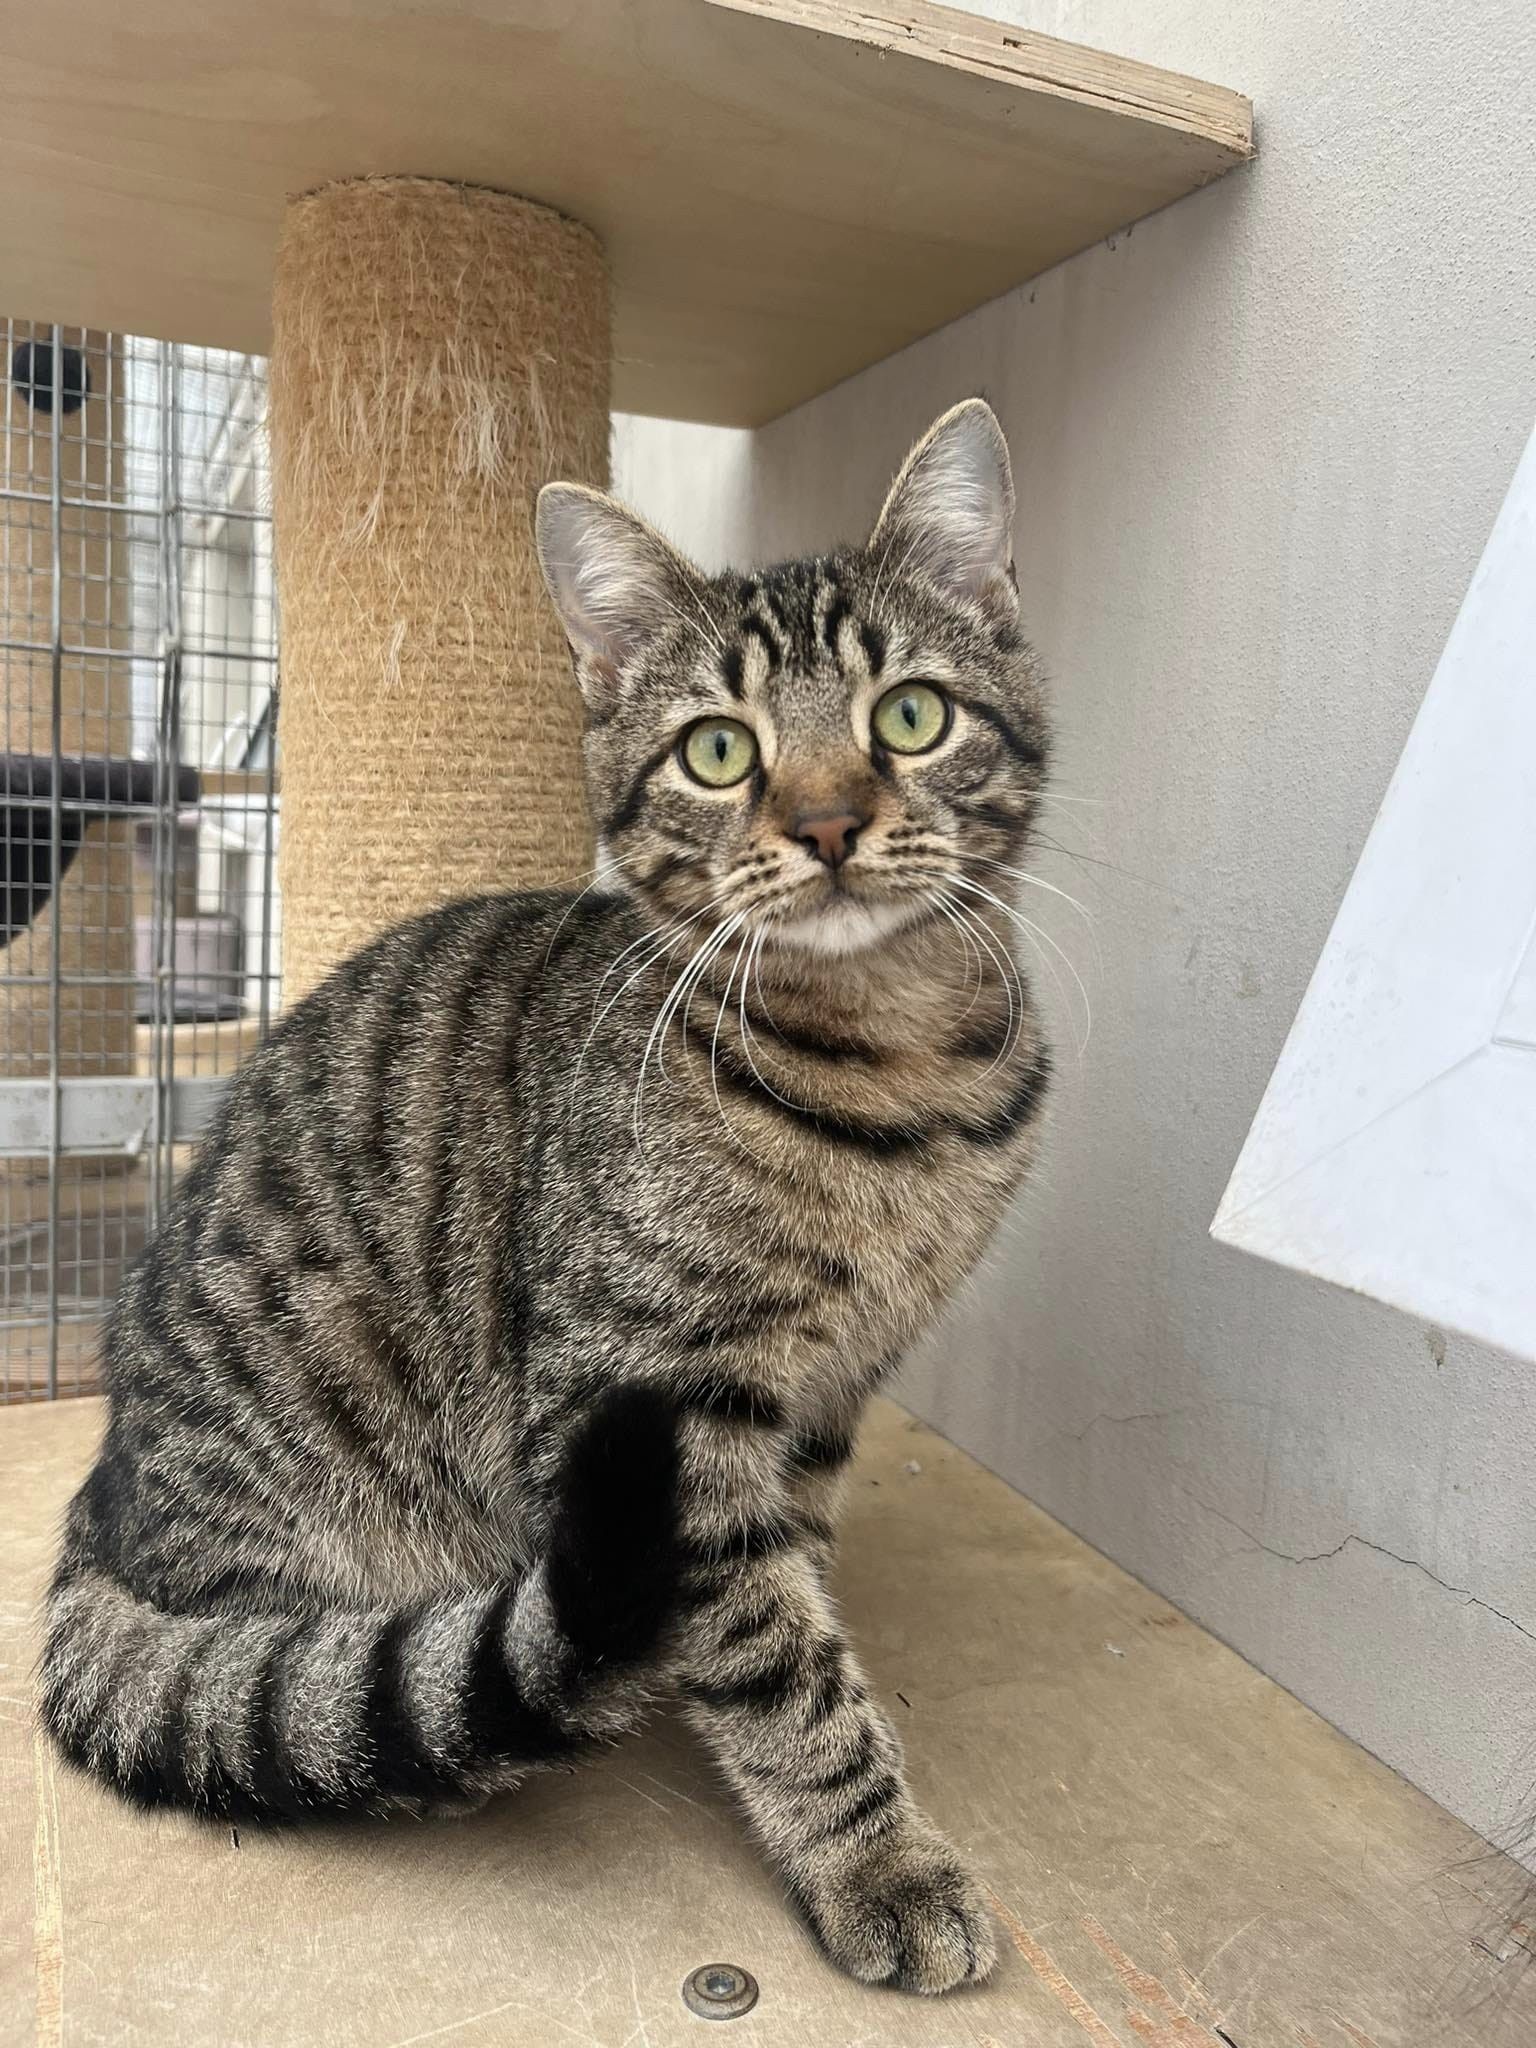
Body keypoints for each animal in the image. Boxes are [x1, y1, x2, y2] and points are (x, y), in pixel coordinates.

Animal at [41, 398, 1051, 1995]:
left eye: (910, 717)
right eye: (718, 749)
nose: (830, 822)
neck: (896, 1075)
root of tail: (102, 1493)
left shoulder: (829, 1391)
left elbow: (789, 1589)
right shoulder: (647, 1397)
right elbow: (776, 1661)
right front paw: (876, 1859)